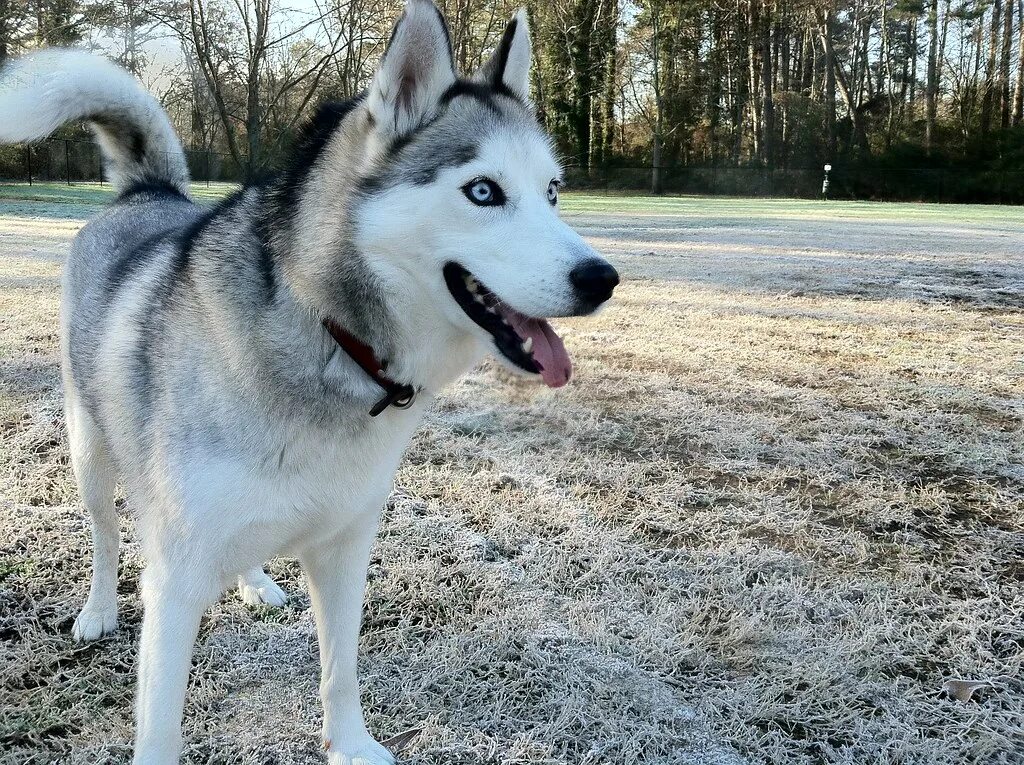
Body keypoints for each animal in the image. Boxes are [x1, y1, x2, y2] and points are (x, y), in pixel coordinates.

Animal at [0, 2, 614, 761]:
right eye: (483, 191)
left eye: (554, 192)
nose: (602, 278)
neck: (328, 333)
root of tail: (151, 192)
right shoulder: (175, 579)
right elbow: (162, 725)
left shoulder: (346, 545)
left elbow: (340, 668)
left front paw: (351, 745)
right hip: (91, 450)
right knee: (106, 535)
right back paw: (98, 609)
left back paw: (254, 582)